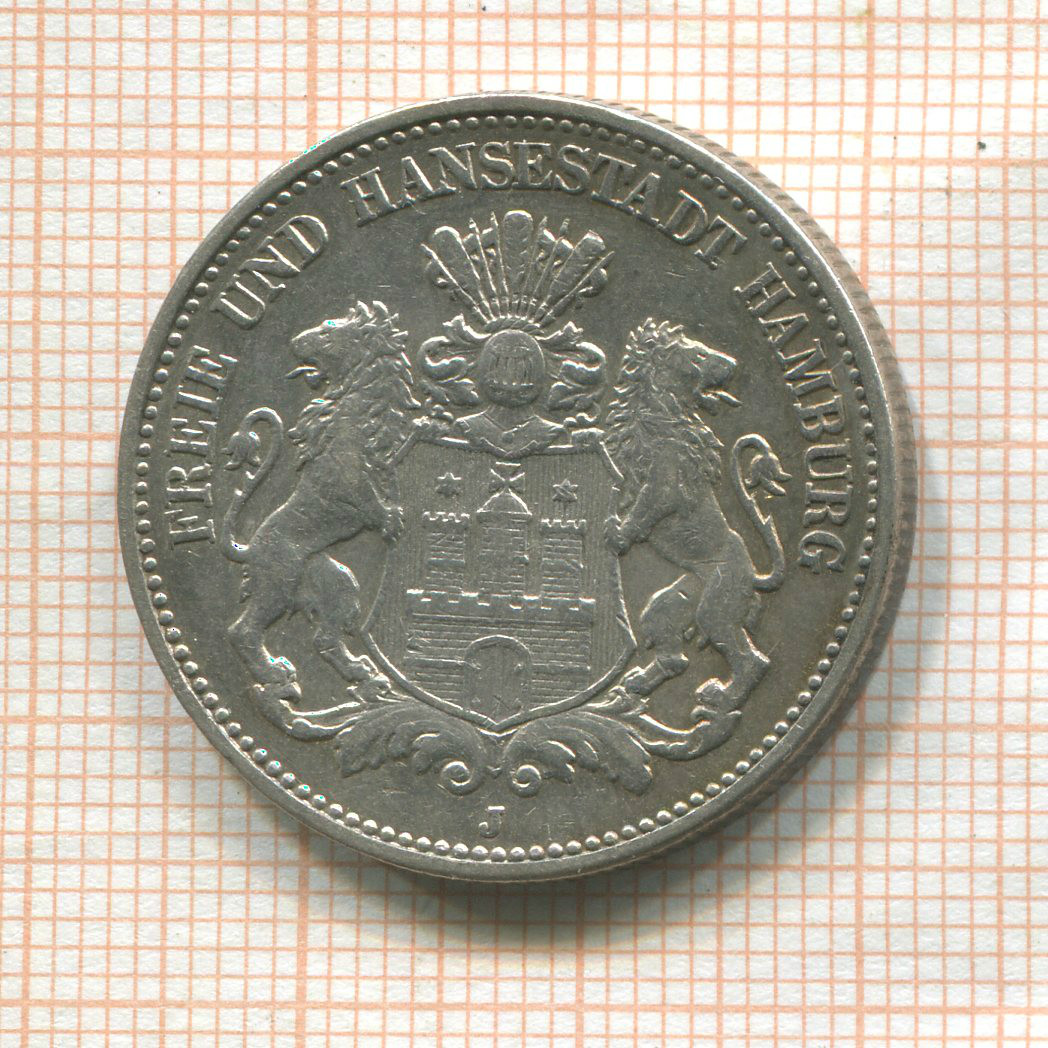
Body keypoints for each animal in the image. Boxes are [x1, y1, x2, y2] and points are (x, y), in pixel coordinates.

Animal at [220, 301, 420, 727]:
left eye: (328, 333)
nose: (296, 340)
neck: (360, 413)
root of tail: (251, 547)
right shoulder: (347, 477)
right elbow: (367, 498)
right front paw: (388, 520)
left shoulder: (386, 462)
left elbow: (390, 482)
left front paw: (396, 512)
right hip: (279, 581)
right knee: (243, 630)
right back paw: (275, 674)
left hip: (335, 581)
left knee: (325, 638)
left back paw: (363, 674)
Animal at [603, 319, 791, 721]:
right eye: (699, 354)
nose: (733, 365)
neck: (663, 416)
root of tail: (753, 574)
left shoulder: (667, 480)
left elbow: (647, 507)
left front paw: (620, 534)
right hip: (675, 602)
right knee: (675, 656)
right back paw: (637, 685)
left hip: (716, 606)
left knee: (754, 660)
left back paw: (721, 700)